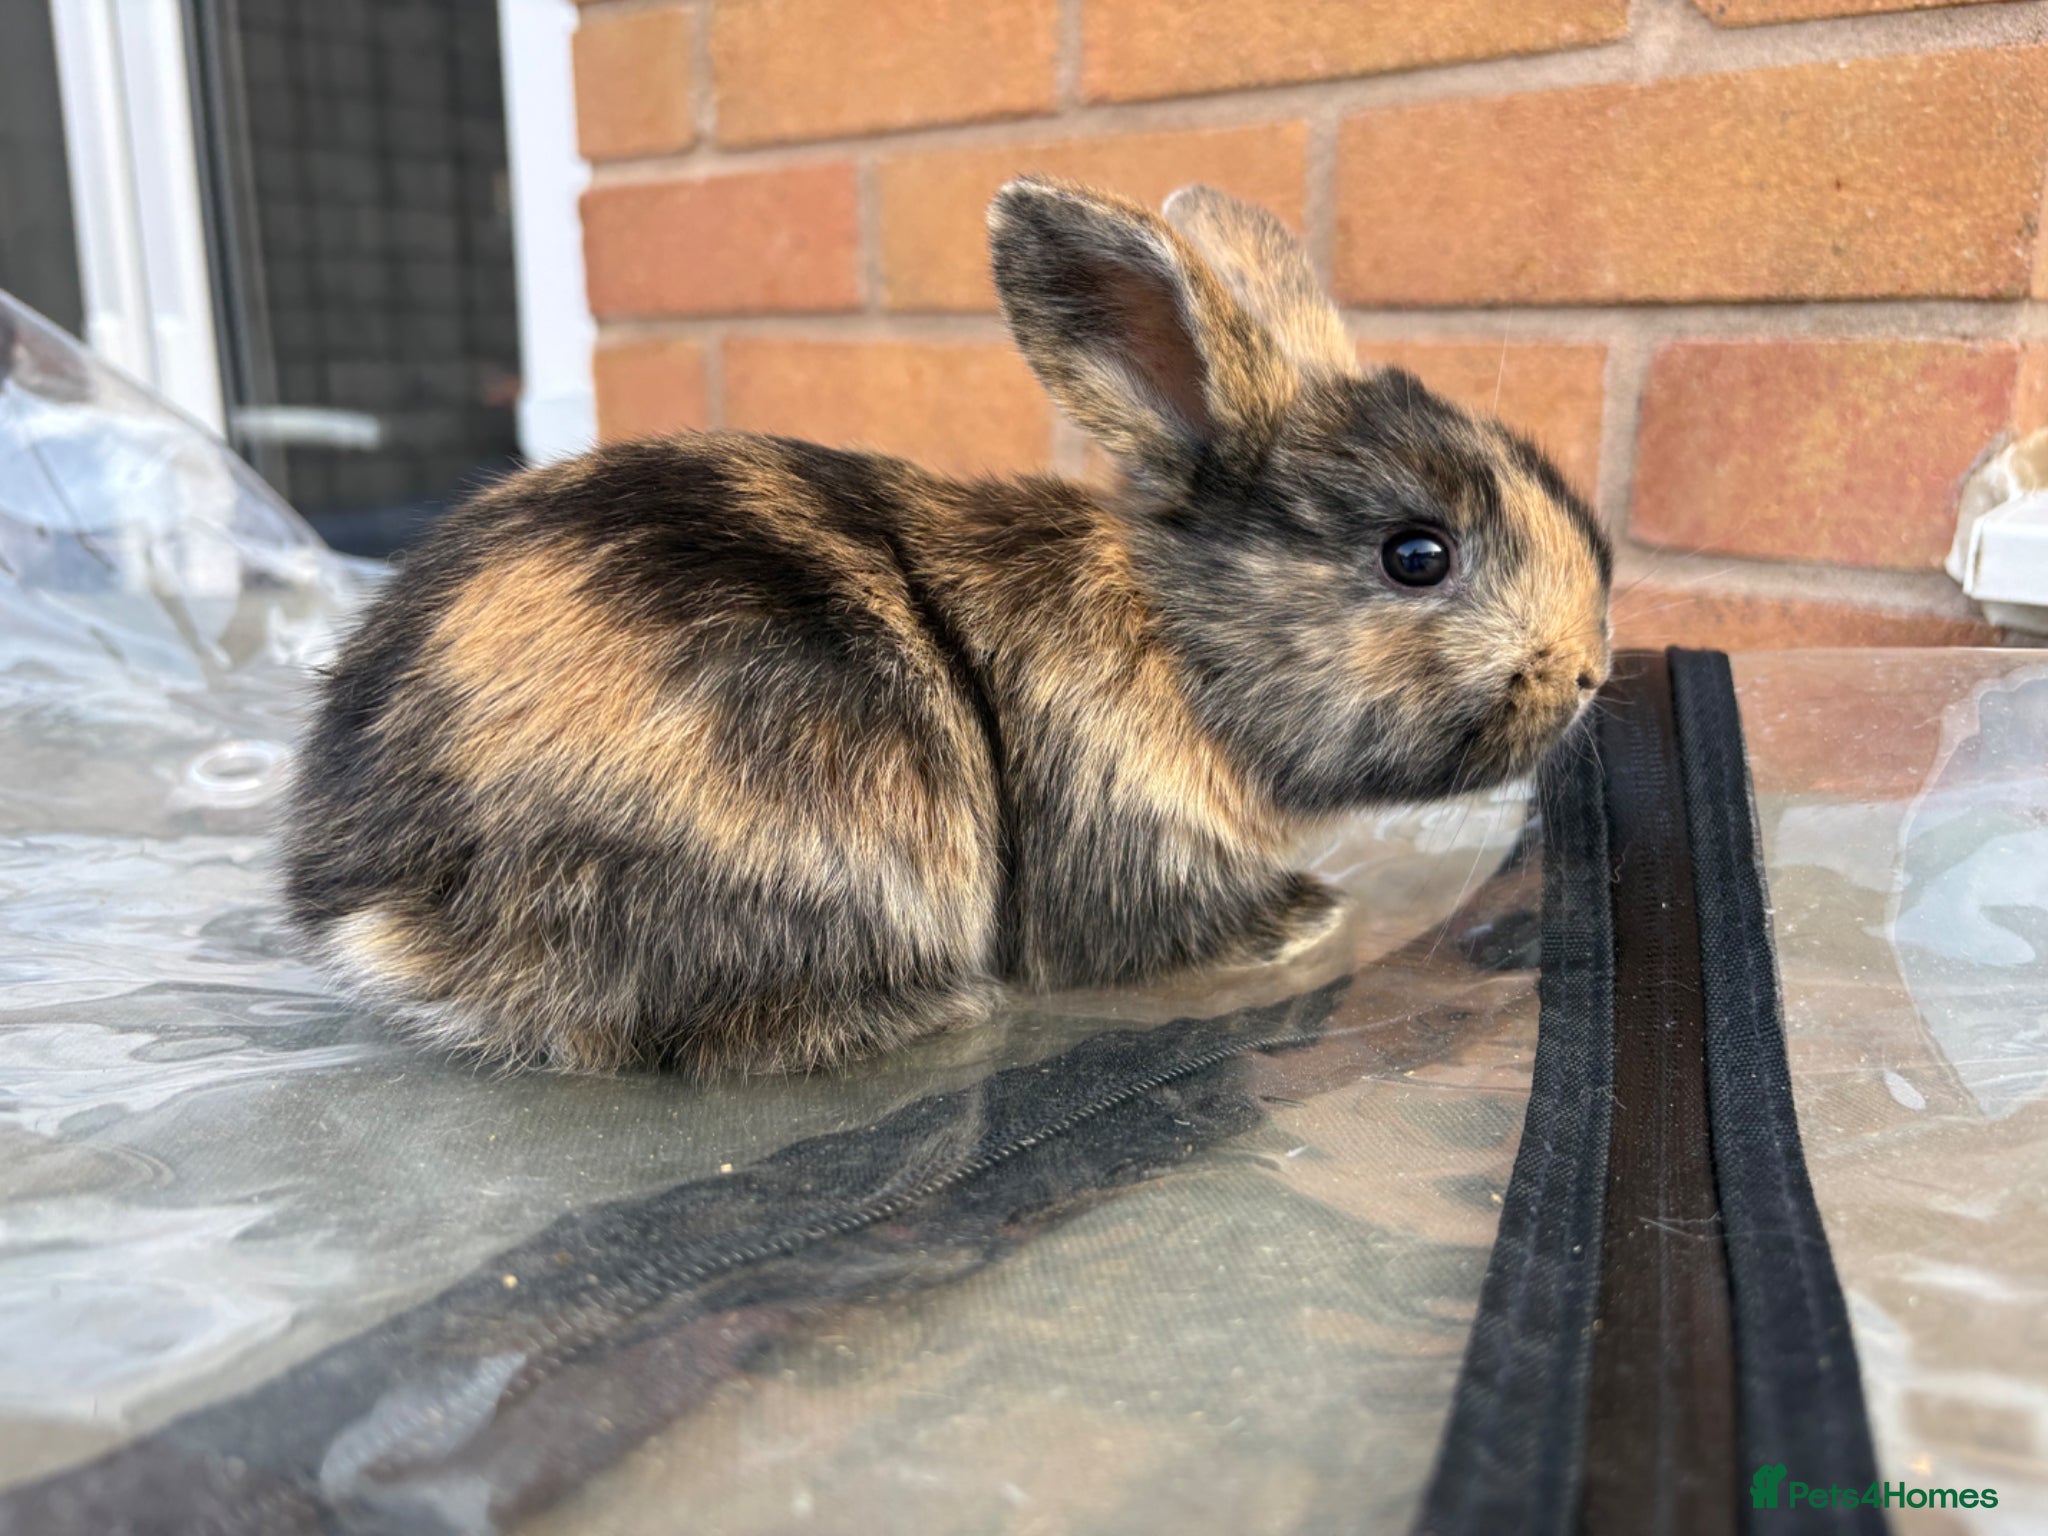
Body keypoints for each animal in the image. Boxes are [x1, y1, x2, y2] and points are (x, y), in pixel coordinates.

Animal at [282, 178, 1612, 1075]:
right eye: (1414, 555)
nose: (1592, 670)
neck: (1176, 640)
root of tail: (384, 901)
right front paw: (1306, 917)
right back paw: (936, 1010)